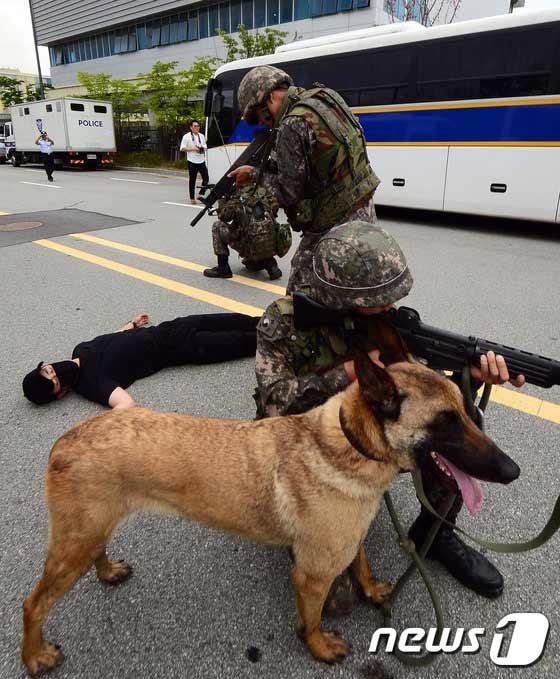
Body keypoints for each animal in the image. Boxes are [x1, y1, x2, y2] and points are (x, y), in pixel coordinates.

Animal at [21, 346, 520, 676]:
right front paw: (318, 647)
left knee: (96, 554)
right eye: (445, 422)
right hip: (74, 543)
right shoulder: (313, 575)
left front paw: (372, 588)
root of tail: (65, 440)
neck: (351, 443)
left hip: (92, 530)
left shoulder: (347, 541)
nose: (513, 470)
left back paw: (107, 572)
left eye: (465, 411)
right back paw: (34, 656)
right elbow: (312, 618)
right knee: (33, 604)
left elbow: (360, 562)